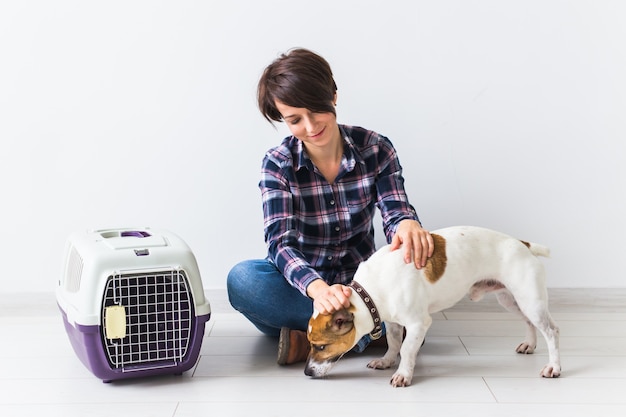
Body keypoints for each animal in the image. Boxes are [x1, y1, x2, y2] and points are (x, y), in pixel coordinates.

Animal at [304, 226, 560, 386]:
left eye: (320, 346)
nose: (306, 372)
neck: (371, 291)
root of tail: (522, 244)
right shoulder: (393, 323)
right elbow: (394, 344)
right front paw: (387, 361)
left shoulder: (418, 324)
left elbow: (407, 349)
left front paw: (403, 374)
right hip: (512, 300)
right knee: (529, 322)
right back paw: (529, 345)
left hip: (530, 301)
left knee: (551, 331)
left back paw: (553, 367)